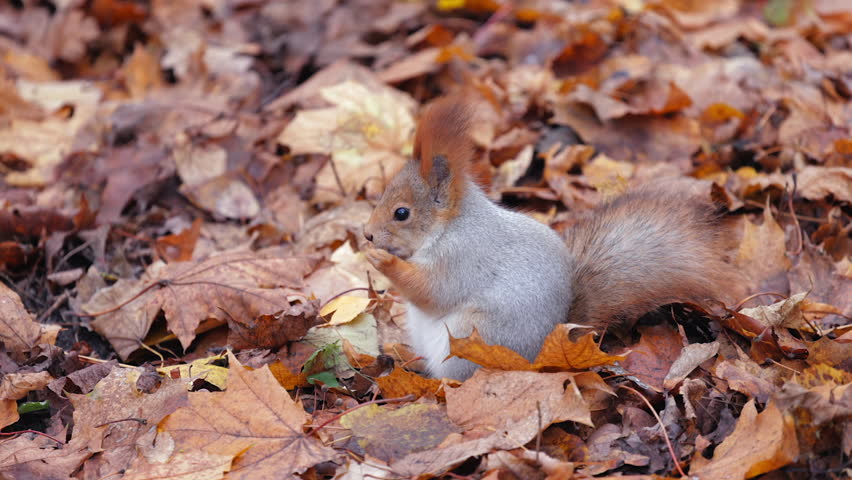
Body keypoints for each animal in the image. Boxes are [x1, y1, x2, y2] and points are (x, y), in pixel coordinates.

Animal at [363, 96, 740, 381]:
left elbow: (433, 291)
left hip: (471, 339)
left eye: (401, 213)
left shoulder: (464, 257)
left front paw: (383, 261)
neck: (449, 228)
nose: (367, 233)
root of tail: (543, 353)